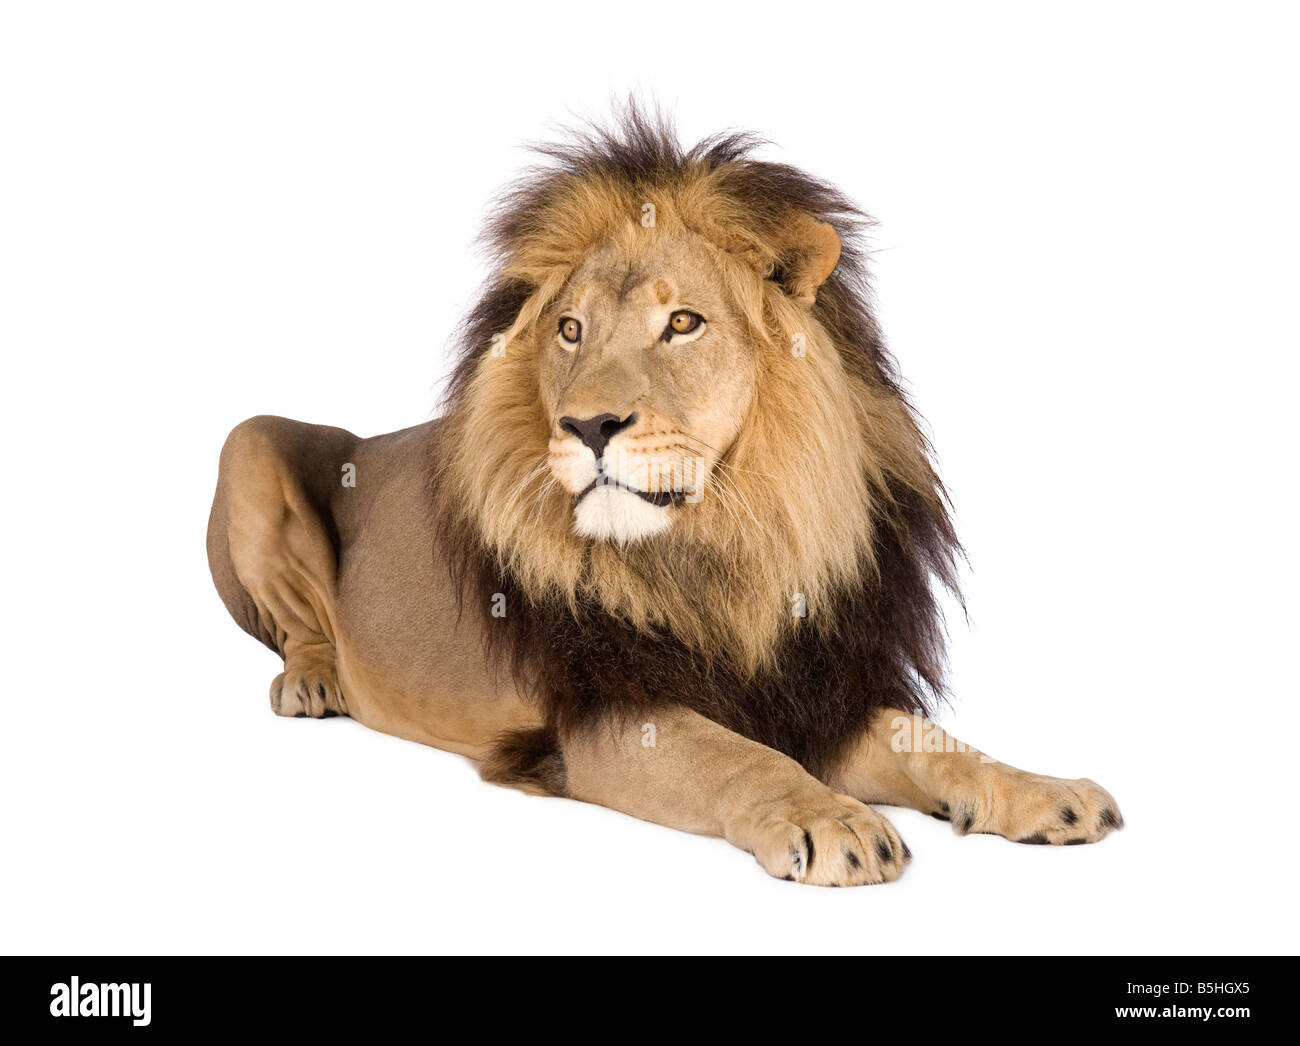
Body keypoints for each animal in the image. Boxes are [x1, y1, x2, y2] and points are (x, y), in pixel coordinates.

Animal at [207, 106, 1121, 886]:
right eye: (569, 331)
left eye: (683, 323)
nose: (586, 424)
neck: (727, 547)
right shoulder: (606, 714)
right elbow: (739, 757)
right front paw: (834, 820)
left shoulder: (815, 689)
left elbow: (928, 737)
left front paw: (1045, 792)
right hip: (246, 441)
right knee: (297, 627)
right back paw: (314, 682)